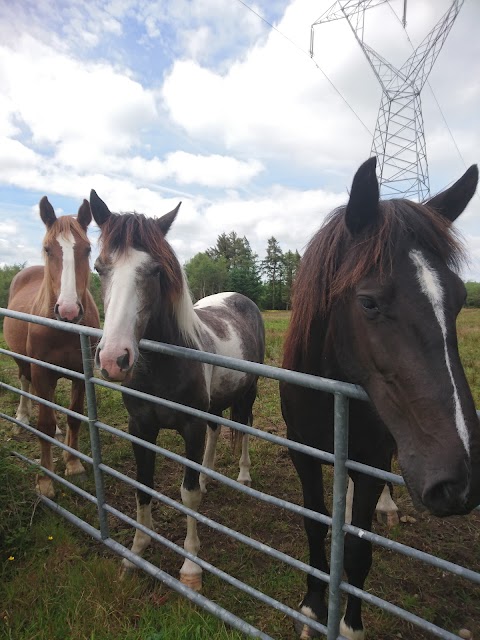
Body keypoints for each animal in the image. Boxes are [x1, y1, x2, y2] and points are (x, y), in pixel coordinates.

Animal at [4, 198, 100, 498]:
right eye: (48, 248)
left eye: (87, 249)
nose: (68, 311)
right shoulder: (41, 370)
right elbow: (43, 425)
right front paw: (46, 480)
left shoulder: (81, 373)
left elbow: (75, 417)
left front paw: (73, 463)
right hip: (24, 362)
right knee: (25, 383)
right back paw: (22, 416)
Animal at [88, 190, 264, 592]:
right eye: (100, 268)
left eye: (155, 270)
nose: (114, 359)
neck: (162, 366)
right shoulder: (140, 427)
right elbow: (143, 485)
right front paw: (136, 553)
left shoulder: (190, 427)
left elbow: (188, 494)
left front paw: (191, 567)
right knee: (217, 429)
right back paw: (209, 473)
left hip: (247, 393)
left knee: (243, 426)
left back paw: (243, 475)